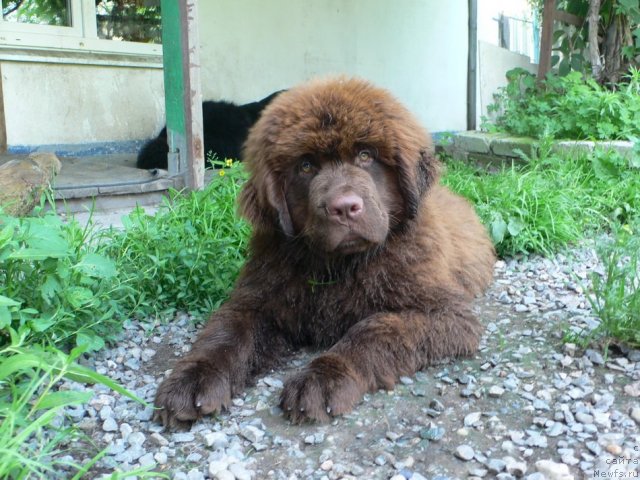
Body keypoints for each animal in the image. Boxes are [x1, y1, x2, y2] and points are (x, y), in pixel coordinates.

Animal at [154, 78, 496, 428]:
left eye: (365, 155)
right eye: (305, 166)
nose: (344, 207)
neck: (337, 265)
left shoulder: (444, 312)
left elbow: (374, 330)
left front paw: (322, 379)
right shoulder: (256, 297)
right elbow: (227, 333)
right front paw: (194, 378)